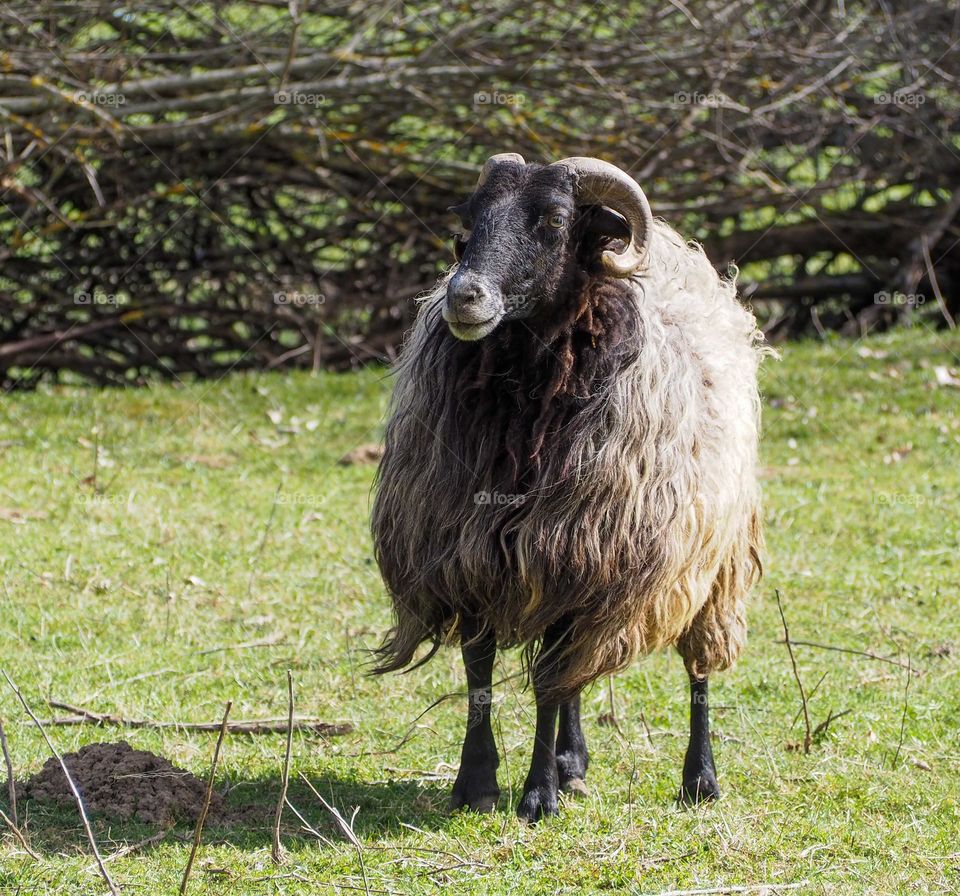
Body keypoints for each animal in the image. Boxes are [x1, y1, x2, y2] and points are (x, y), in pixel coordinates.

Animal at [371, 153, 767, 822]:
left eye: (556, 219)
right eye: (470, 215)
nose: (463, 295)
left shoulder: (579, 555)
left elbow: (547, 684)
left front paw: (537, 796)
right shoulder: (474, 554)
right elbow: (481, 671)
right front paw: (478, 782)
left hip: (711, 557)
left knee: (696, 669)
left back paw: (700, 780)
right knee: (576, 673)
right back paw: (572, 762)